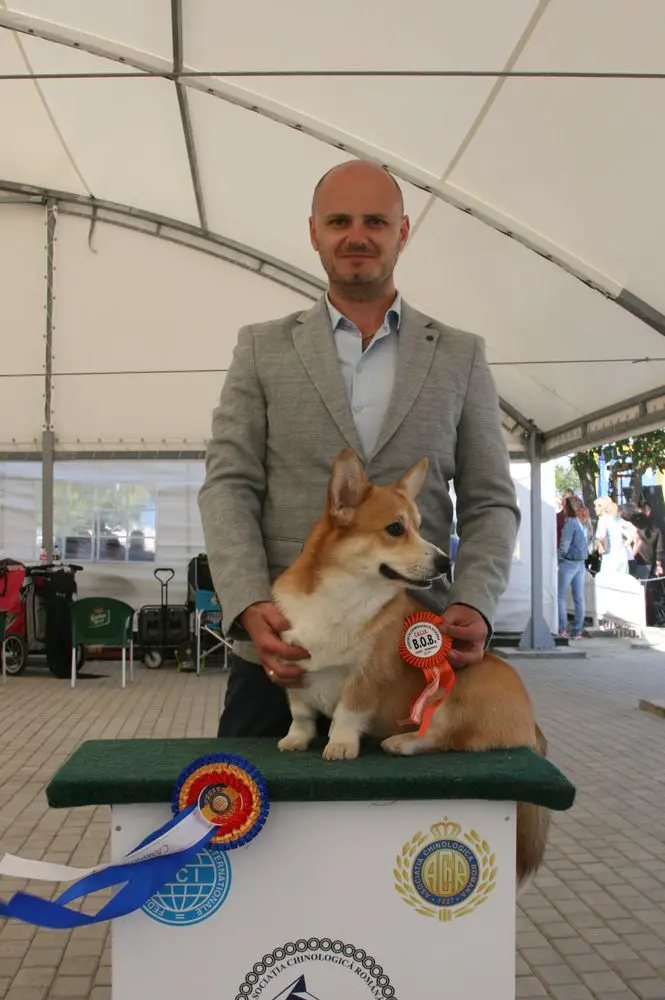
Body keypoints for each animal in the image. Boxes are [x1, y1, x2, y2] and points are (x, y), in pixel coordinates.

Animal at [273, 448, 550, 885]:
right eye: (395, 528)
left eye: (419, 527)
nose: (444, 562)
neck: (344, 594)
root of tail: (534, 724)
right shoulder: (294, 668)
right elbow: (301, 714)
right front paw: (295, 740)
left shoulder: (367, 674)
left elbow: (347, 713)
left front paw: (340, 745)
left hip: (458, 691)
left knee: (444, 737)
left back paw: (400, 743)